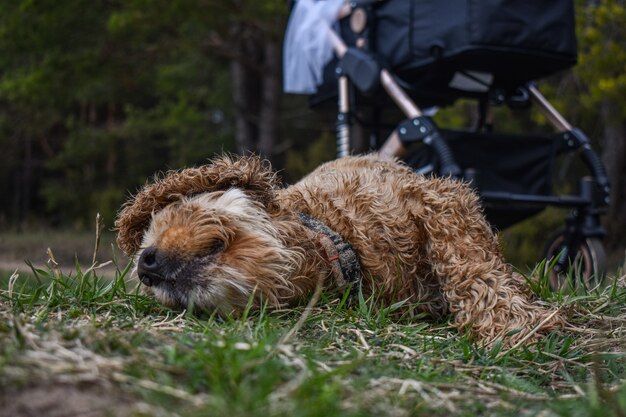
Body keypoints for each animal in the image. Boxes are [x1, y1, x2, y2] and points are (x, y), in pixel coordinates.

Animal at [116, 154, 560, 342]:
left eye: (172, 213)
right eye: (148, 233)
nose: (145, 264)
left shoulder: (438, 198)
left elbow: (466, 258)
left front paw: (509, 321)